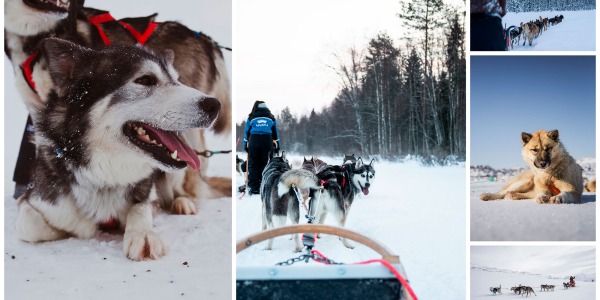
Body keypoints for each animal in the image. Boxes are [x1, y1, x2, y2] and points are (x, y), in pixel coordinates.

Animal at [5, 0, 231, 216]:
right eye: (145, 80)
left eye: (176, 80)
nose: (214, 106)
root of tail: (204, 38)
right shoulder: (37, 112)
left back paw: (183, 200)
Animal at [15, 39, 220, 260]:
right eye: (145, 80)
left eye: (177, 80)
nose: (214, 105)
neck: (105, 176)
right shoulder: (37, 200)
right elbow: (30, 225)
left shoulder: (149, 196)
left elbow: (140, 208)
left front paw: (143, 234)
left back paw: (183, 203)